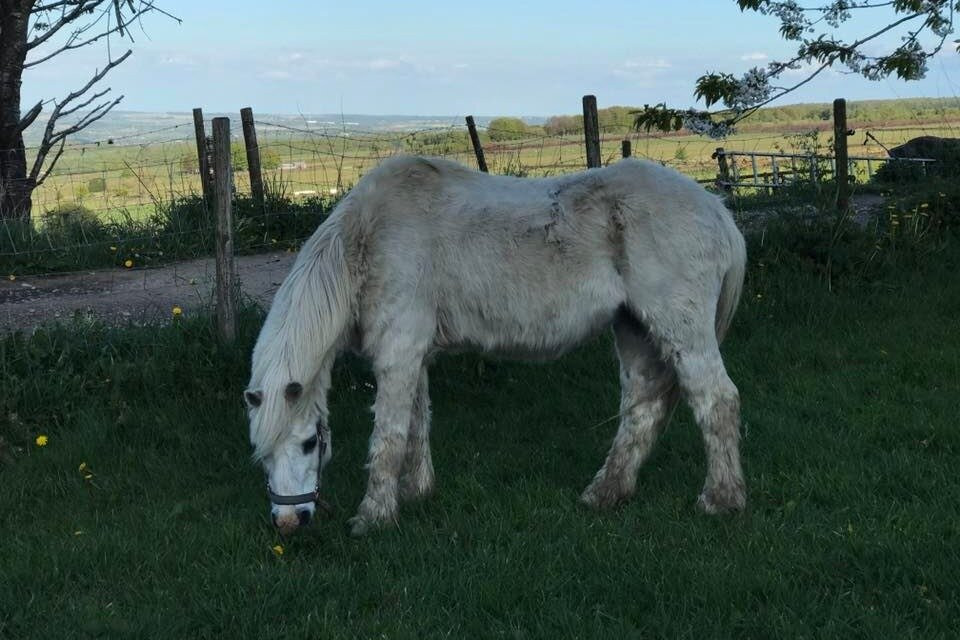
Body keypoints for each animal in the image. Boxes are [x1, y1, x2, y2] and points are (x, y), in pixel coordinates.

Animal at [244, 156, 748, 536]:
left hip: (681, 329)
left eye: (310, 443)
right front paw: (416, 493)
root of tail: (716, 209)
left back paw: (720, 500)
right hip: (634, 330)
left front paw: (374, 516)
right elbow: (418, 423)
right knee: (642, 408)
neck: (370, 239)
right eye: (261, 454)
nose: (288, 522)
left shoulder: (397, 353)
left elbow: (389, 435)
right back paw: (604, 495)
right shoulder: (414, 355)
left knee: (716, 401)